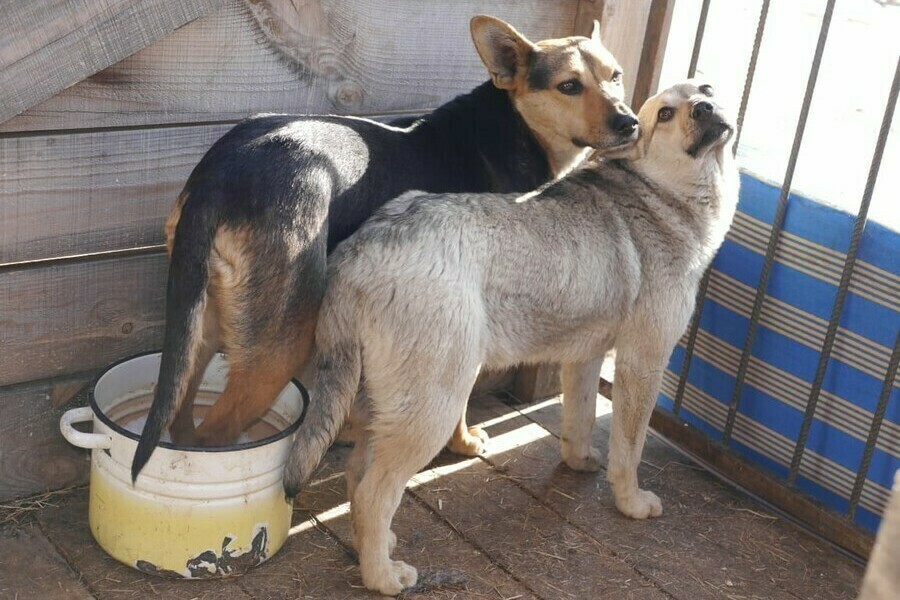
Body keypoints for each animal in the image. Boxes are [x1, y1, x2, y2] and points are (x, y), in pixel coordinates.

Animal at [132, 16, 640, 480]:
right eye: (568, 86)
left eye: (616, 75)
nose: (629, 122)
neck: (514, 126)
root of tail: (219, 172)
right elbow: (460, 401)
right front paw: (461, 443)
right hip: (281, 342)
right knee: (217, 435)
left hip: (203, 320)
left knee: (181, 415)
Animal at [286, 81, 740, 596]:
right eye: (665, 113)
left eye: (705, 89)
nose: (705, 107)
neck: (663, 197)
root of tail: (356, 251)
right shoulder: (643, 362)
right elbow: (630, 448)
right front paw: (632, 503)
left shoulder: (584, 359)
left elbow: (580, 419)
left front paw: (580, 461)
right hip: (432, 410)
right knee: (371, 495)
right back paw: (383, 576)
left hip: (387, 408)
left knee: (356, 476)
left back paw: (376, 546)